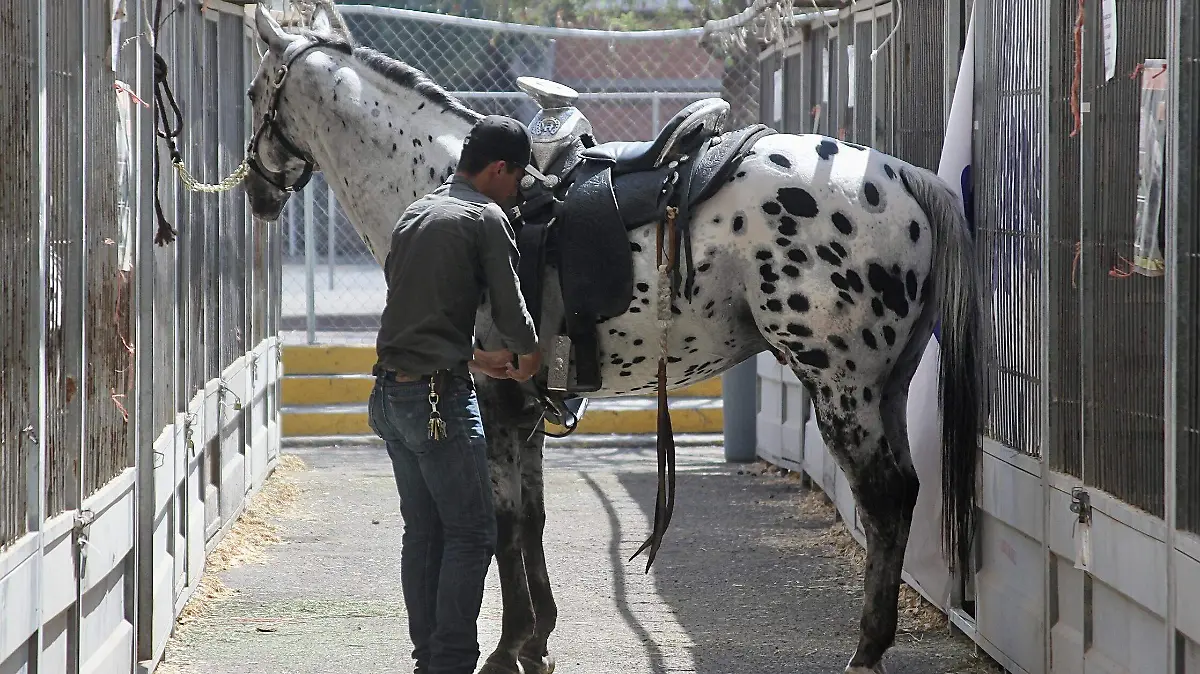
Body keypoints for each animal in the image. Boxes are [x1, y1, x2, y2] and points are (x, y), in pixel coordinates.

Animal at [243, 4, 989, 673]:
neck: (442, 183)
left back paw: (866, 653)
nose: (255, 190)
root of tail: (897, 176)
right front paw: (537, 640)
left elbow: (503, 523)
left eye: (254, 92)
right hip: (886, 388)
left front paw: (507, 650)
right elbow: (532, 520)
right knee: (903, 497)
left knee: (886, 501)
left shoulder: (491, 401)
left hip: (841, 388)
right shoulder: (525, 408)